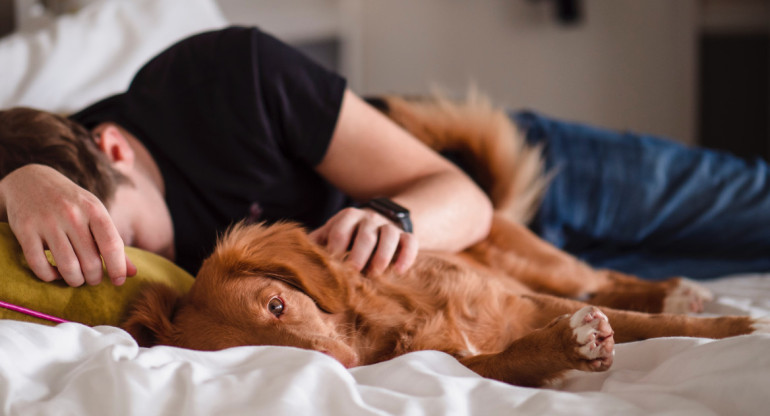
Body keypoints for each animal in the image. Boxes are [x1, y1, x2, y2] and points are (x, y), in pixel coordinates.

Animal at [123, 94, 764, 386]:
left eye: (278, 305)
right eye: (255, 354)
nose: (341, 365)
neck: (388, 321)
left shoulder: (524, 299)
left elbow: (652, 325)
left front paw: (740, 327)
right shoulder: (459, 361)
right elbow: (511, 356)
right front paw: (568, 345)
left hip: (546, 266)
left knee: (604, 277)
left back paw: (678, 290)